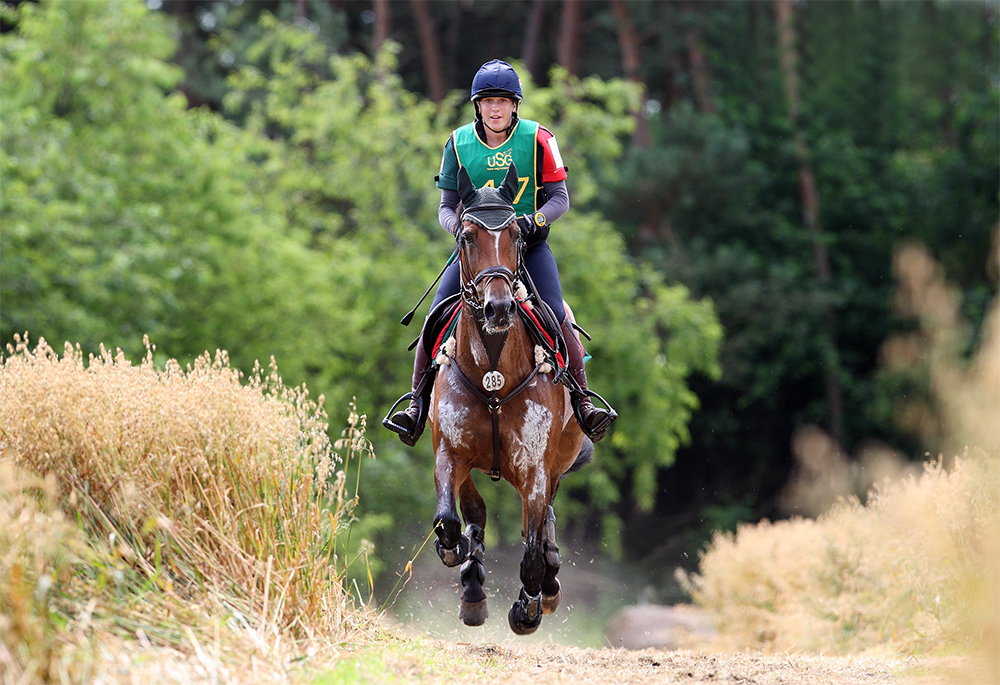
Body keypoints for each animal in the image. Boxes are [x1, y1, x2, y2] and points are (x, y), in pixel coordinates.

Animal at [424, 163, 592, 632]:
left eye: (516, 235)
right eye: (466, 236)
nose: (498, 308)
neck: (493, 374)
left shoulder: (533, 470)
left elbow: (532, 549)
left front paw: (529, 608)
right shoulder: (450, 453)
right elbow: (451, 521)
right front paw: (458, 556)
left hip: (559, 459)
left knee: (545, 518)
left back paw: (546, 584)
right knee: (476, 513)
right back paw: (473, 588)